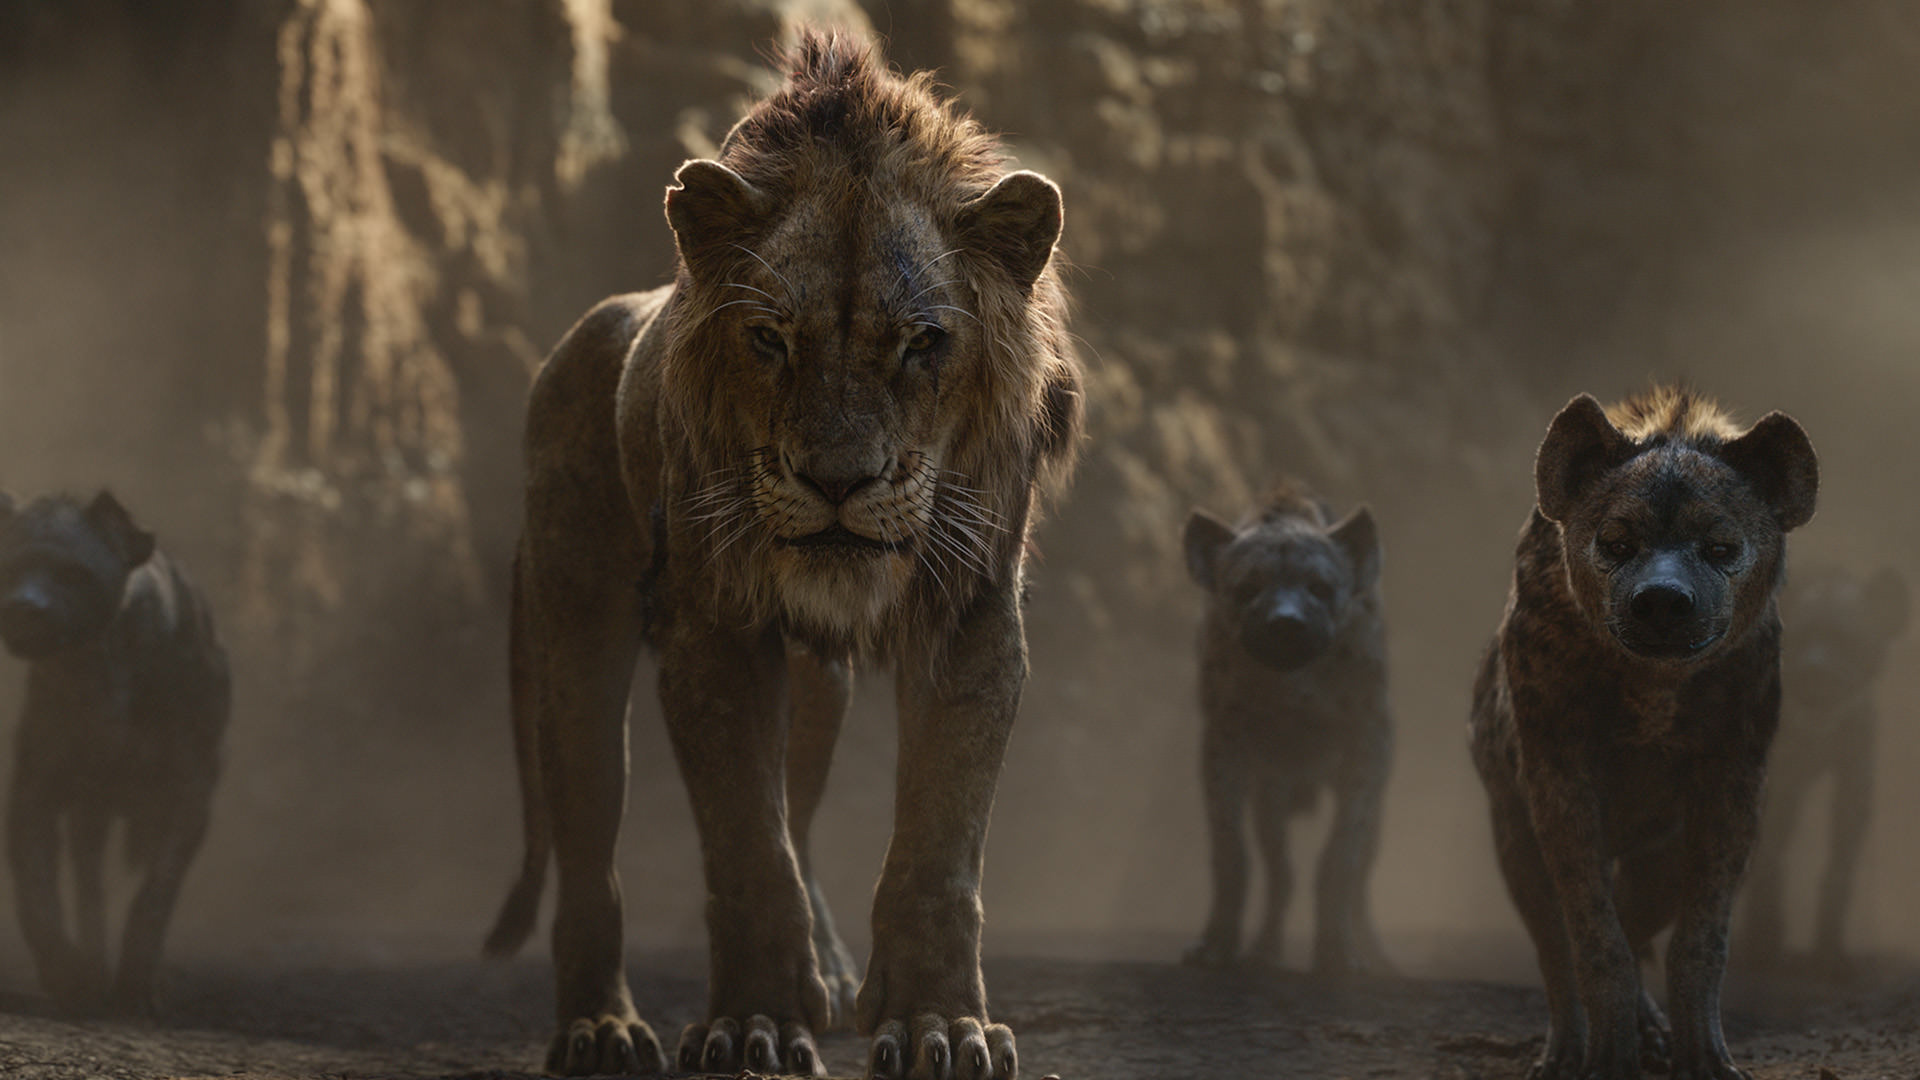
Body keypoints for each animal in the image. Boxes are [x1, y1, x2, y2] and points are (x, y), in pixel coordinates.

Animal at [481, 30, 1081, 1080]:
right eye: (769, 339)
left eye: (923, 343)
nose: (838, 480)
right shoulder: (714, 631)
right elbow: (747, 850)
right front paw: (750, 1027)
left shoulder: (971, 619)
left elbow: (936, 849)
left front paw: (936, 1025)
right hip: (575, 639)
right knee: (592, 850)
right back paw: (599, 1028)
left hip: (817, 688)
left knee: (798, 812)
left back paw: (832, 972)